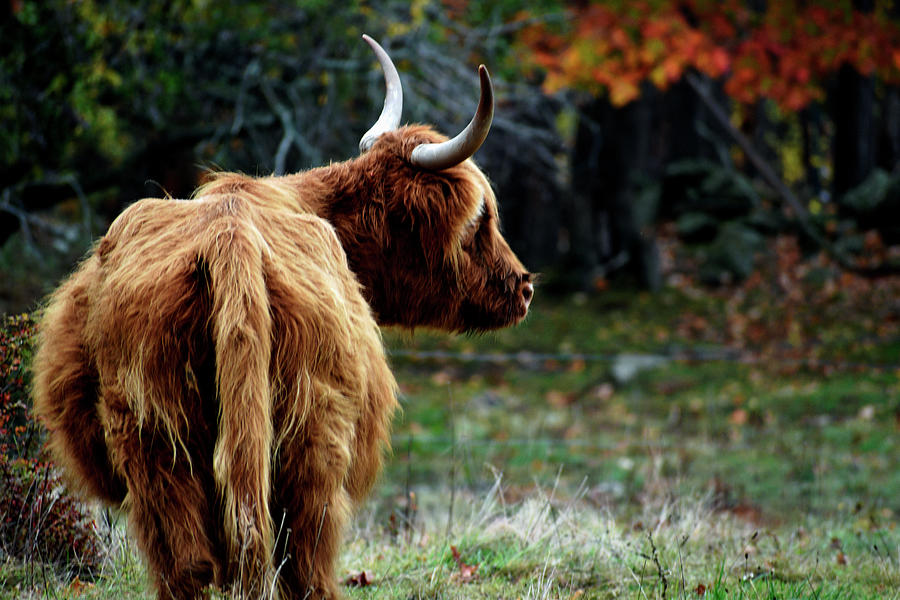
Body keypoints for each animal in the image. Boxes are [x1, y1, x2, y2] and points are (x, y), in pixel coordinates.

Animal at [31, 37, 532, 600]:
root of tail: (230, 242)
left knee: (187, 563)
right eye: (478, 222)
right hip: (313, 438)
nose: (524, 286)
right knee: (305, 564)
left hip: (154, 432)